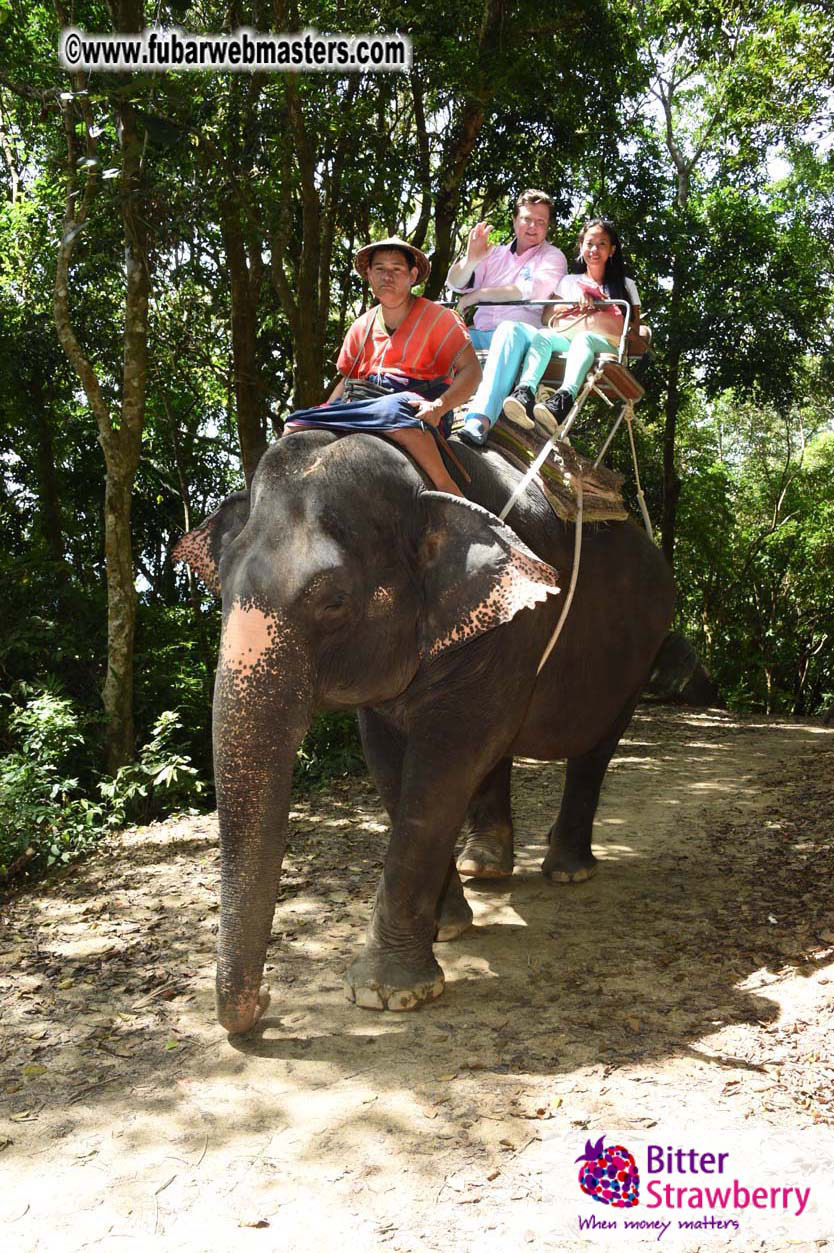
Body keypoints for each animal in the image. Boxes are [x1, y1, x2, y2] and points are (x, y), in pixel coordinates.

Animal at [174, 429, 674, 1034]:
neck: (419, 479)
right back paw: (486, 868)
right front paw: (448, 928)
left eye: (334, 602)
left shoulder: (512, 623)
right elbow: (391, 762)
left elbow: (442, 766)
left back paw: (567, 873)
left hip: (644, 649)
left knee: (595, 746)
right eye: (220, 589)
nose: (267, 1003)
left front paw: (386, 993)